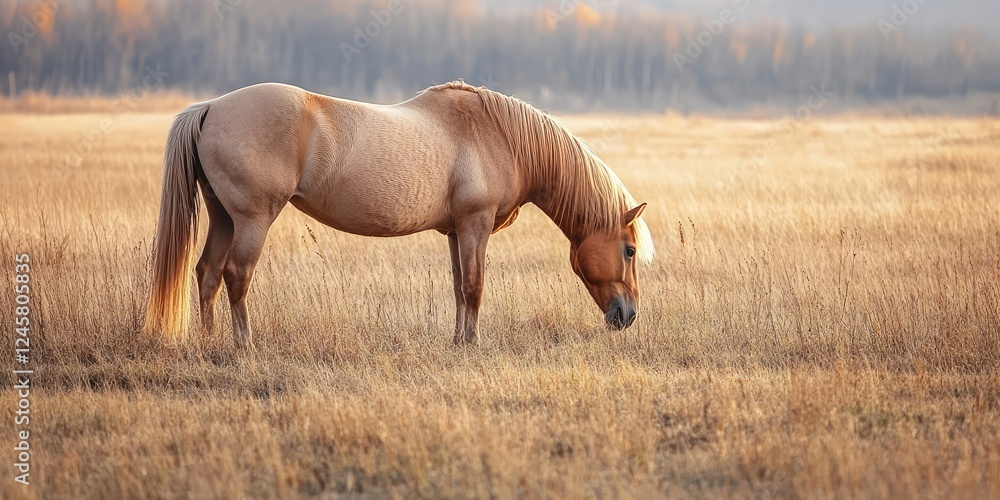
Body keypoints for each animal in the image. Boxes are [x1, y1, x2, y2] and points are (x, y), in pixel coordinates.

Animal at [144, 80, 654, 348]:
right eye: (629, 250)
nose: (628, 315)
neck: (499, 136)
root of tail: (211, 107)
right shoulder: (475, 224)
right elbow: (475, 286)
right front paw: (473, 345)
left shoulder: (455, 231)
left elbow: (459, 288)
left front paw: (457, 342)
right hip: (252, 220)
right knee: (236, 274)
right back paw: (244, 346)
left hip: (223, 217)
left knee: (207, 273)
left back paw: (209, 342)